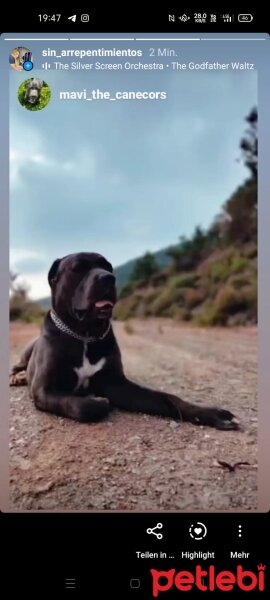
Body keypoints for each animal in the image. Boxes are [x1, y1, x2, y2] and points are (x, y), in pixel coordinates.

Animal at [10, 251, 238, 428]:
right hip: (27, 352)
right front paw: (97, 401)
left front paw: (209, 413)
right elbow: (82, 405)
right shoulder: (44, 390)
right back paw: (17, 377)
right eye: (78, 268)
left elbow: (167, 398)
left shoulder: (117, 384)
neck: (85, 335)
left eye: (107, 266)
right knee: (17, 366)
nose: (108, 277)